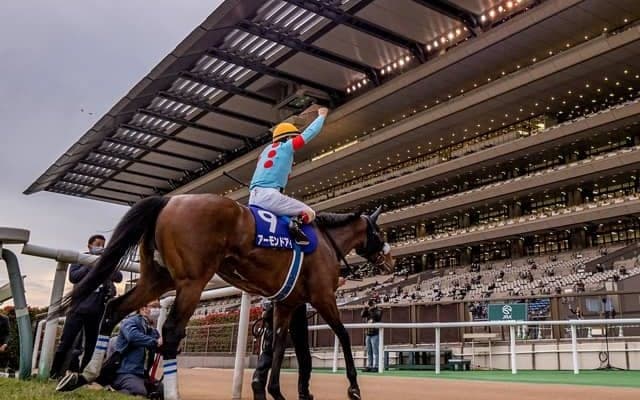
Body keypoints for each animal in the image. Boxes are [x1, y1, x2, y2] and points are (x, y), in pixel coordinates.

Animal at [55, 194, 394, 400]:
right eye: (381, 233)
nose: (390, 262)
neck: (326, 243)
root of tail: (170, 199)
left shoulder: (286, 304)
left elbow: (278, 345)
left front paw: (275, 391)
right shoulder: (323, 297)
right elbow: (344, 336)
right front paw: (353, 387)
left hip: (156, 279)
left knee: (114, 309)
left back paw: (83, 374)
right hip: (192, 282)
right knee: (171, 333)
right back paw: (170, 392)